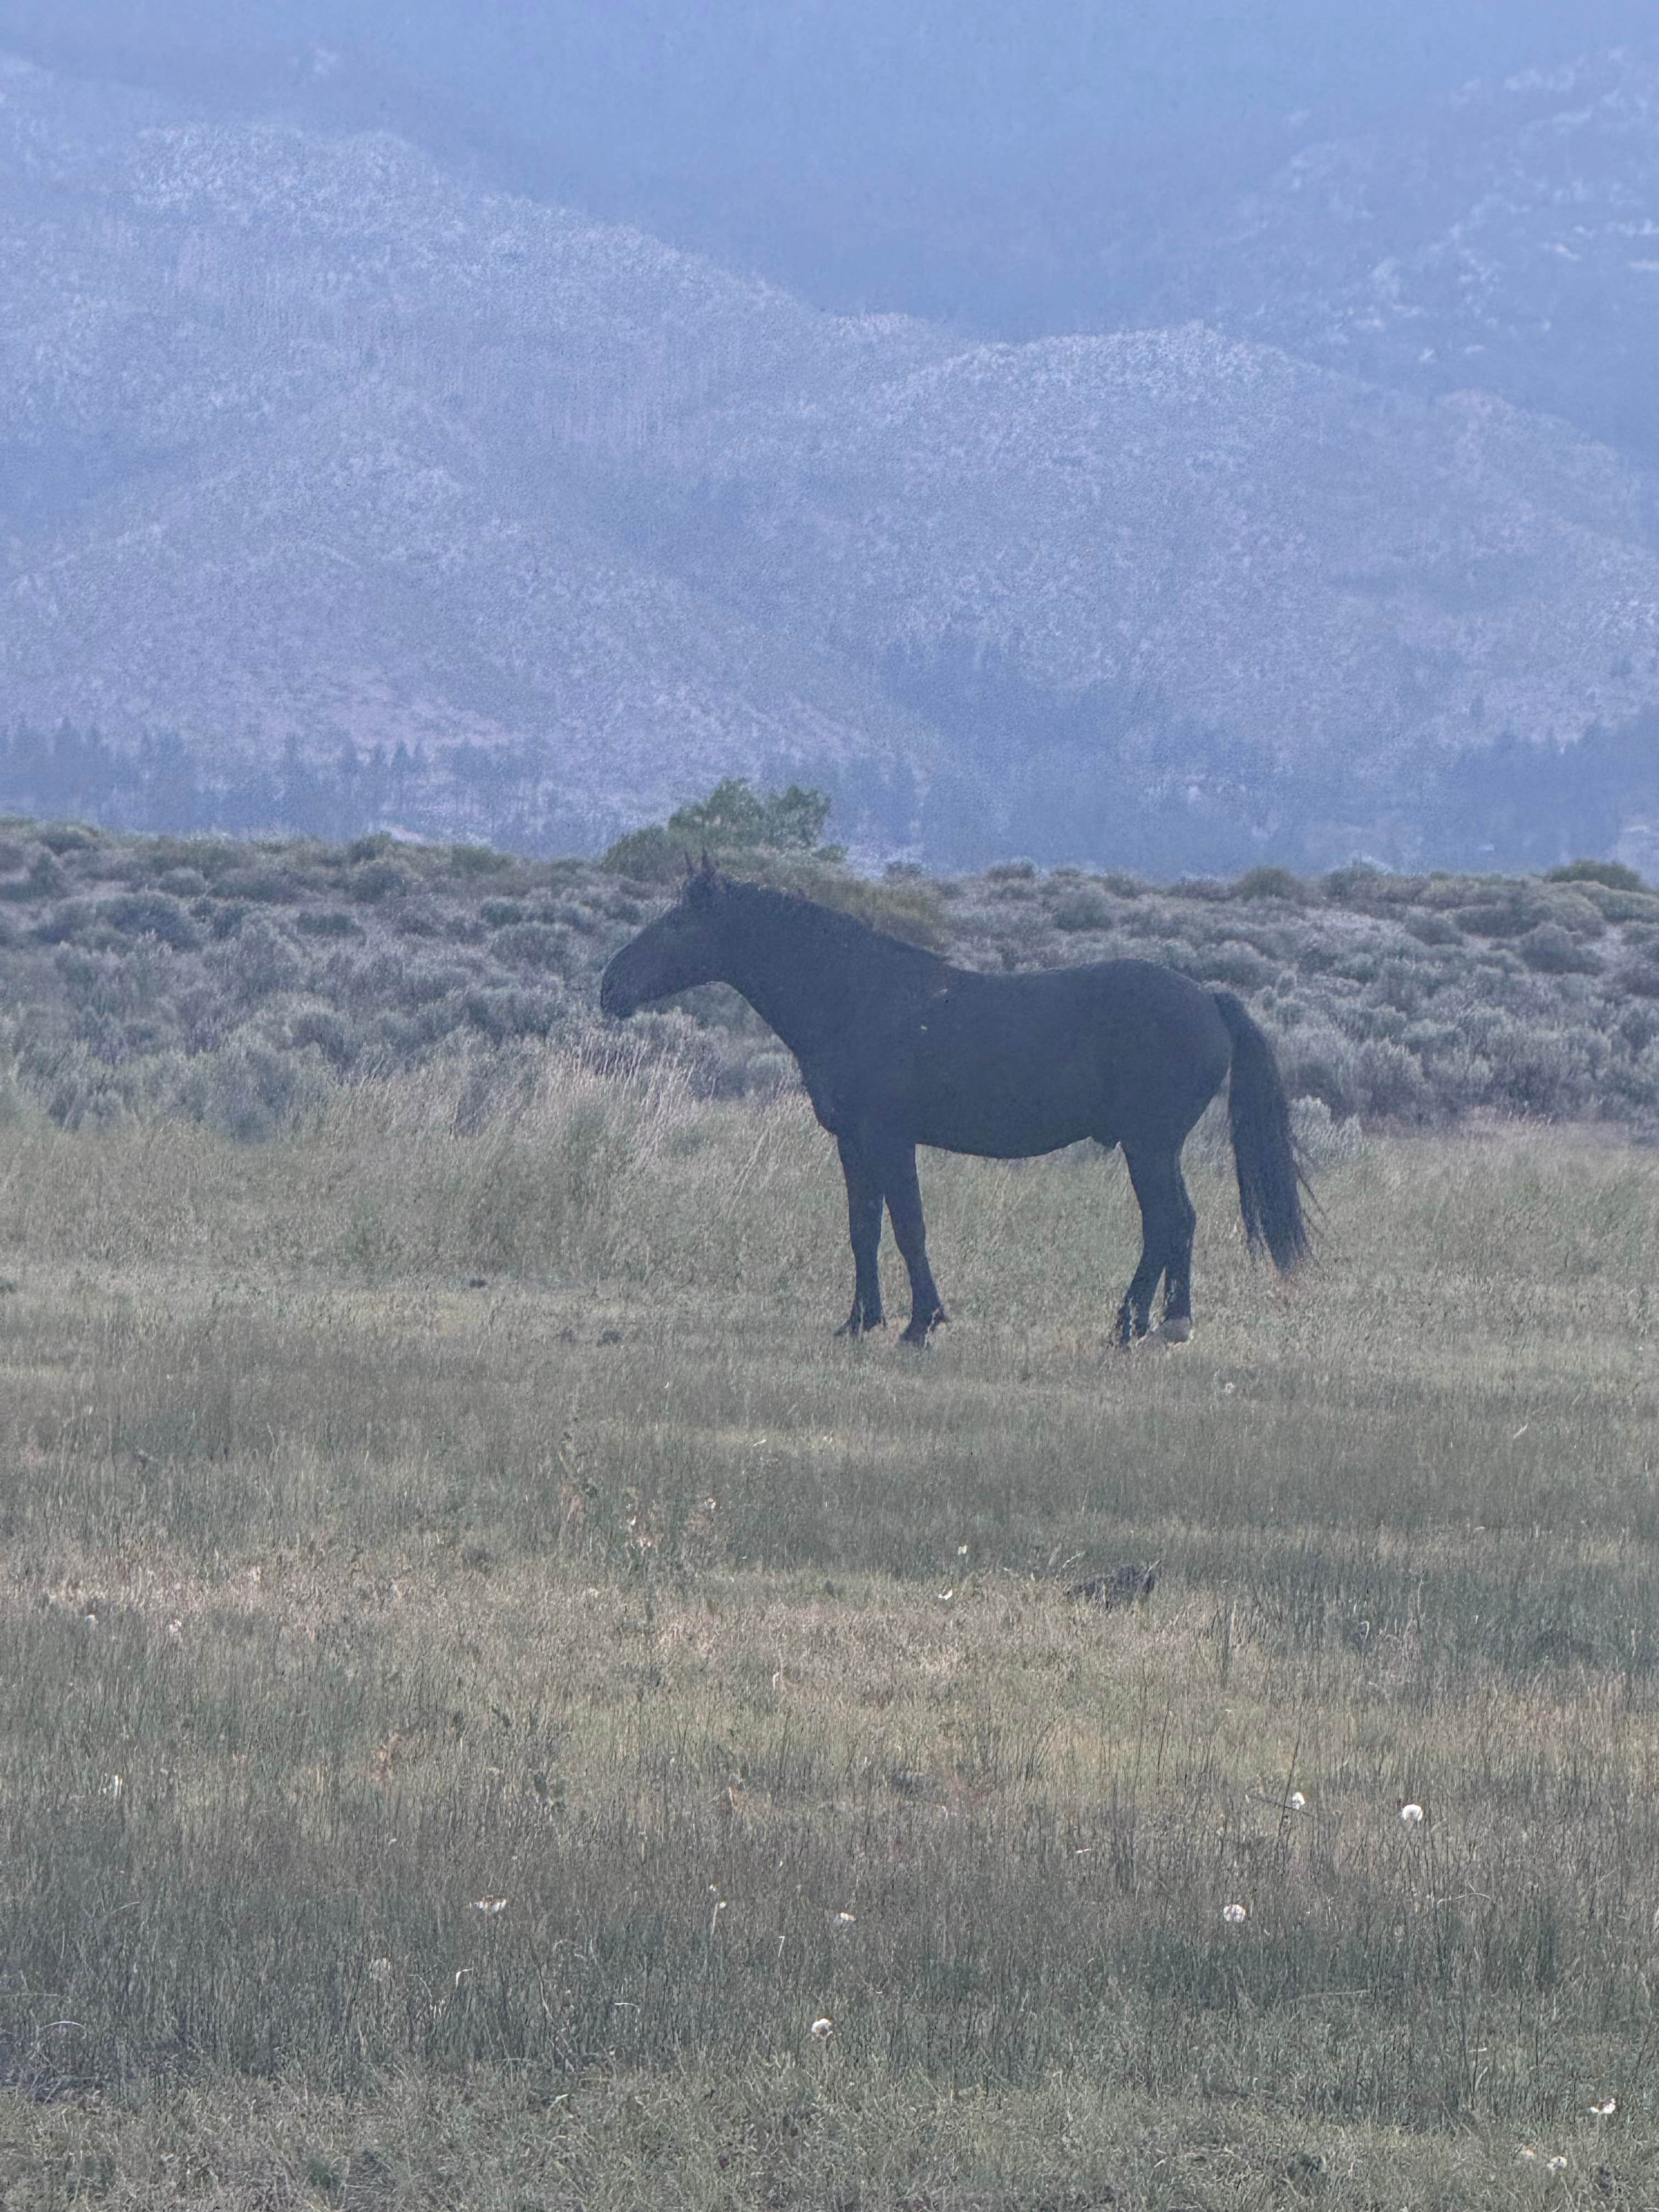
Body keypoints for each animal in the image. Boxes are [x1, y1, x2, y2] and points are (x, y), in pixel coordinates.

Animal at [600, 861, 1309, 1346]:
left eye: (678, 922)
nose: (610, 986)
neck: (855, 998)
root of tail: (1208, 999)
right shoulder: (853, 1144)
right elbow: (863, 1229)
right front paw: (860, 1322)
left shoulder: (890, 1139)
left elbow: (909, 1227)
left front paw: (921, 1324)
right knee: (1168, 1226)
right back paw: (1145, 1324)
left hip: (1151, 1146)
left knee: (1172, 1222)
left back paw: (1153, 1325)